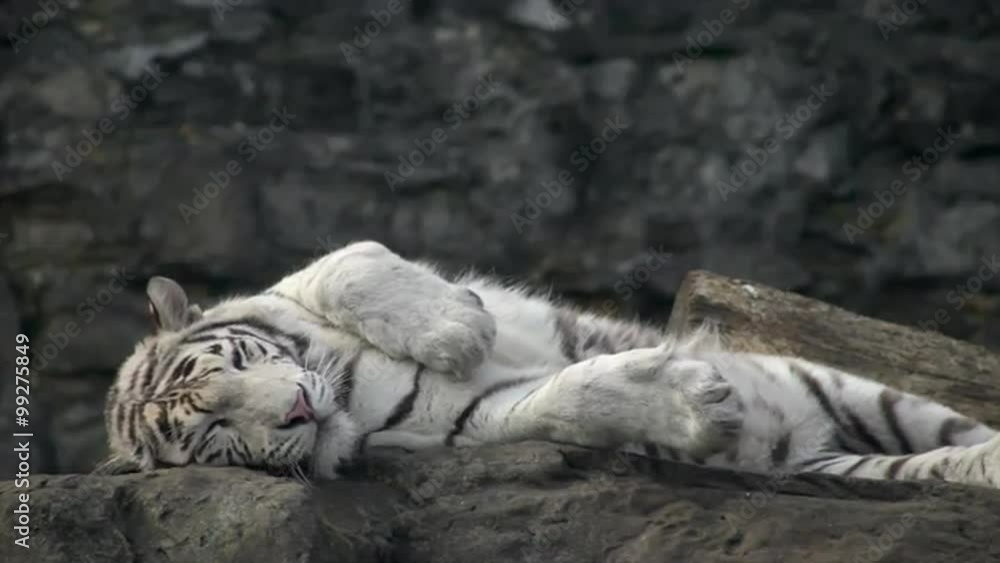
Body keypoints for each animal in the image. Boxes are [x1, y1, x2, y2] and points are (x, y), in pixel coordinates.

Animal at [103, 240, 1000, 489]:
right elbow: (556, 403)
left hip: (848, 386)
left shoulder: (293, 290)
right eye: (215, 431)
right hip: (842, 450)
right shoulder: (462, 430)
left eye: (243, 359)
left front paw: (459, 324)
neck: (345, 385)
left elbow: (341, 262)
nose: (295, 412)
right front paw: (699, 406)